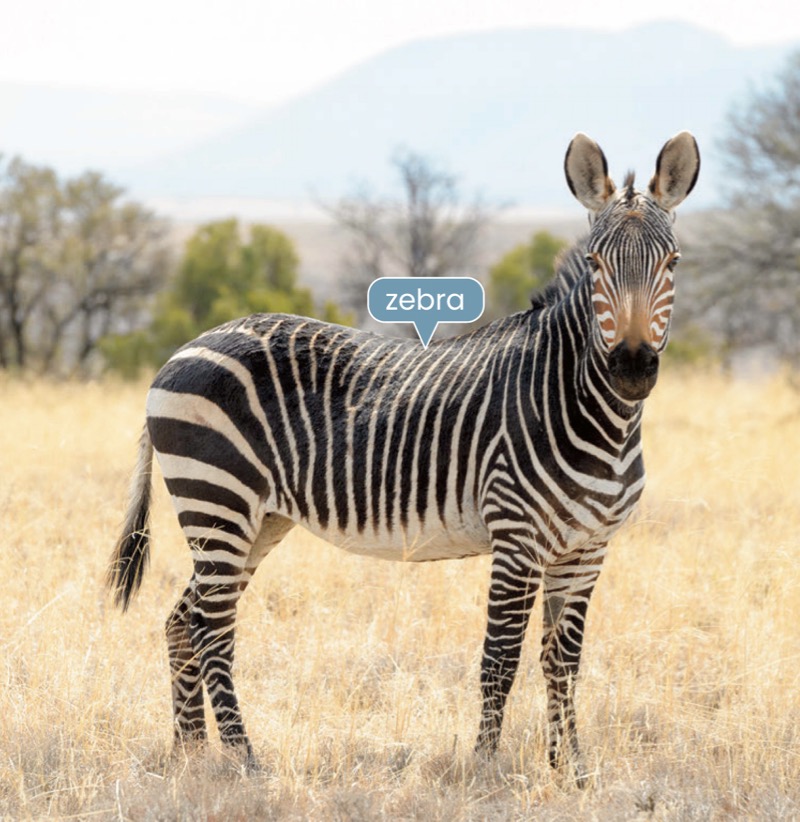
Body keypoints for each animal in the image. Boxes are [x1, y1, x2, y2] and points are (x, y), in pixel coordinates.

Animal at [108, 132, 699, 781]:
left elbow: (562, 661)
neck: (590, 410)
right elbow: (501, 658)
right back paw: (245, 759)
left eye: (672, 263)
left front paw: (569, 771)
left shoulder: (587, 550)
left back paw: (190, 755)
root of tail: (179, 352)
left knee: (181, 621)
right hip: (219, 500)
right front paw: (484, 770)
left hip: (255, 520)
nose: (632, 368)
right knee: (211, 629)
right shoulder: (517, 537)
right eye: (595, 264)